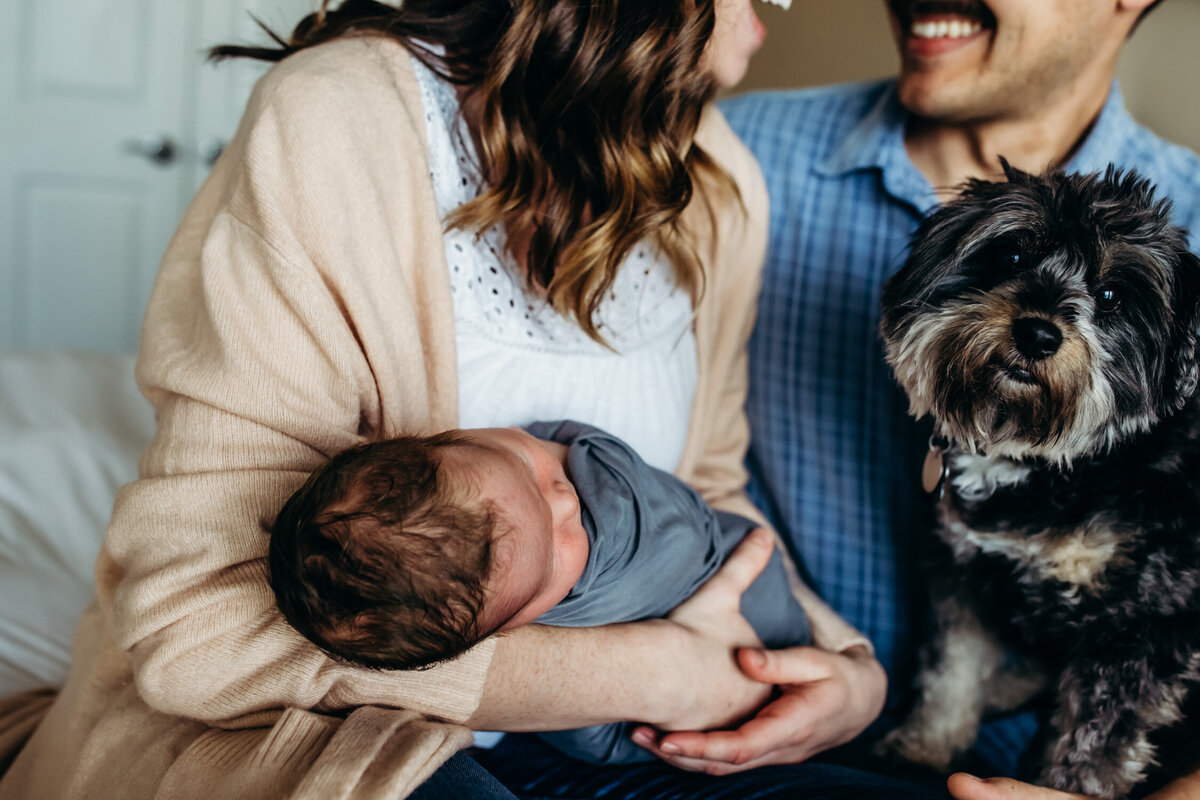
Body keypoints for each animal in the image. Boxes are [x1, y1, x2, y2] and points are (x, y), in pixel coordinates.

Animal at [873, 164, 1200, 800]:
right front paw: (924, 748)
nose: (1038, 334)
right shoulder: (964, 571)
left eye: (1111, 296)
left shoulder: (1147, 619)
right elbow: (951, 671)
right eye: (1012, 254)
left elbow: (1097, 744)